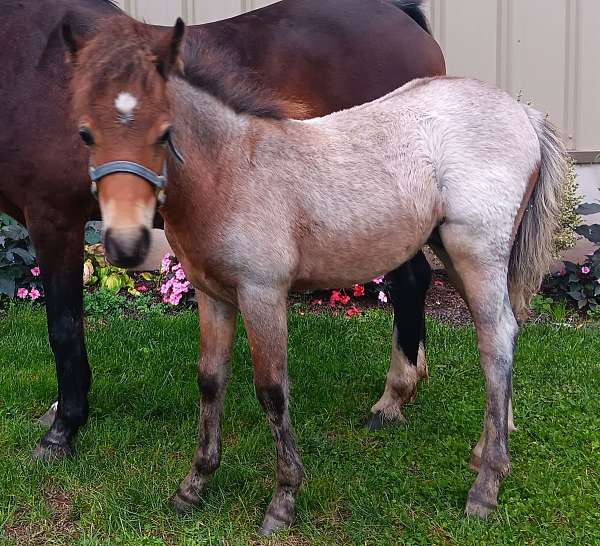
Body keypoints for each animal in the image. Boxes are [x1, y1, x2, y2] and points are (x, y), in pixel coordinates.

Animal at [0, 0, 442, 460]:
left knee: (409, 281)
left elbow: (64, 325)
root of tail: (397, 13)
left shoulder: (54, 218)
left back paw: (391, 399)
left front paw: (62, 429)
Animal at [65, 18, 568, 532]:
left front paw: (283, 501)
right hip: (452, 251)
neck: (230, 172)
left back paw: (486, 486)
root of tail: (527, 115)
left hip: (477, 253)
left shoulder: (262, 293)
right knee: (504, 332)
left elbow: (272, 389)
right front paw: (193, 486)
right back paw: (486, 448)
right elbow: (210, 380)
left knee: (495, 341)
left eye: (165, 132)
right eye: (85, 134)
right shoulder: (212, 295)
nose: (125, 244)